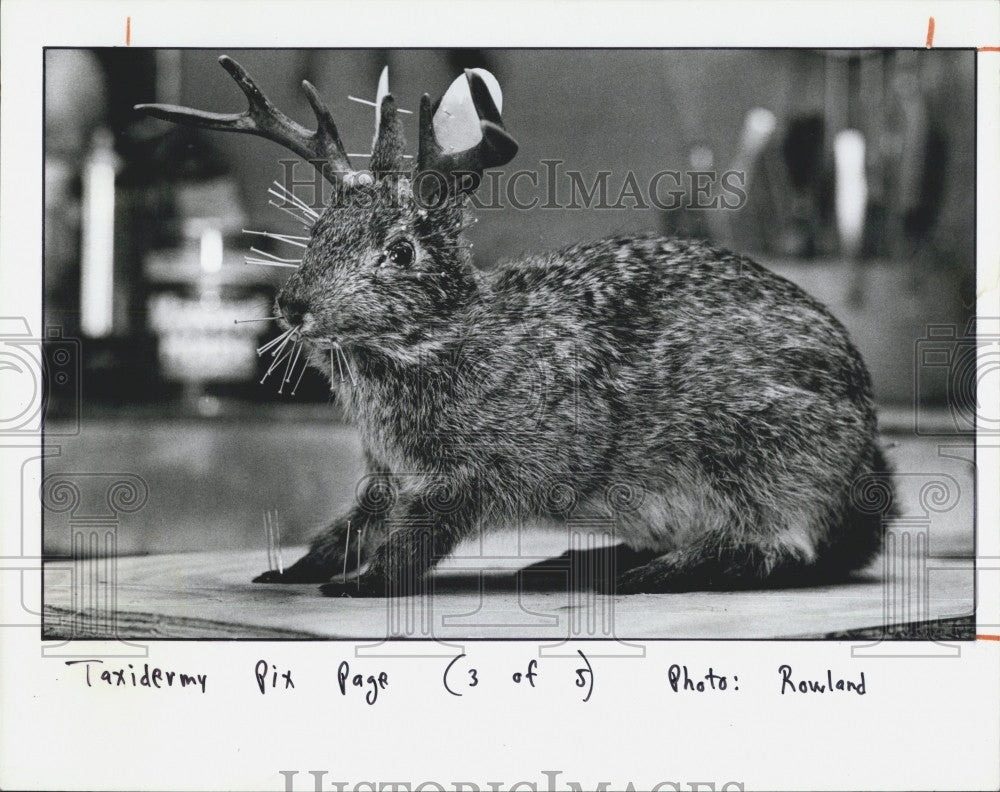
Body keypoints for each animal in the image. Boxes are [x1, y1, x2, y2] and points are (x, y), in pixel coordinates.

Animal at [139, 55, 892, 596]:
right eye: (320, 230)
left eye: (401, 252)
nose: (293, 307)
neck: (437, 336)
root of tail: (866, 454)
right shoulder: (387, 478)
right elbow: (348, 530)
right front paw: (288, 573)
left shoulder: (470, 480)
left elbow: (414, 544)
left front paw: (360, 586)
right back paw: (573, 565)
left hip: (756, 451)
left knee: (778, 548)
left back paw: (637, 577)